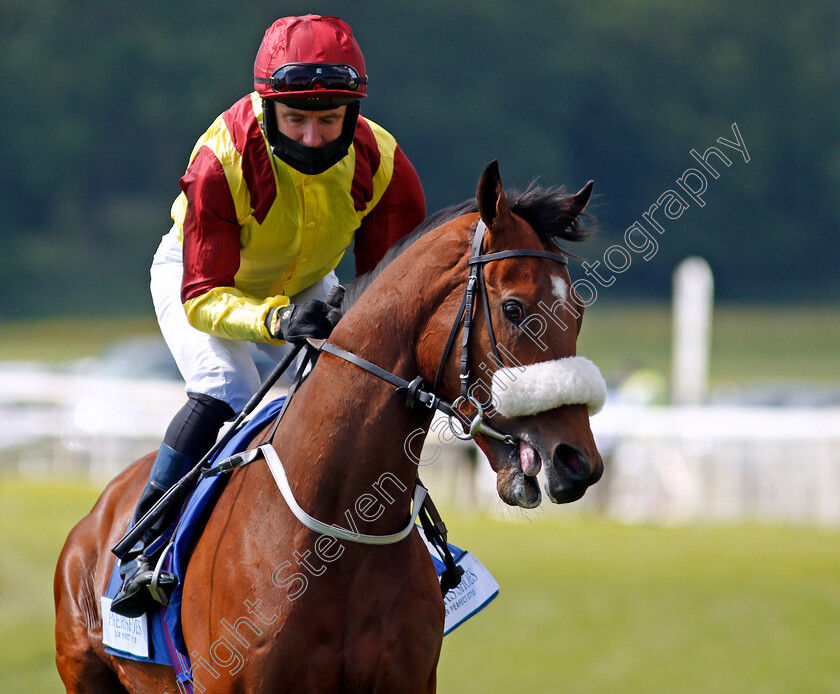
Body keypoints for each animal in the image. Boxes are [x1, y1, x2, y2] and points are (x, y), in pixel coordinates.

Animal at [54, 160, 604, 692]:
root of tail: (99, 514)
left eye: (579, 311)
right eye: (514, 308)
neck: (339, 531)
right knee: (213, 393)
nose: (578, 463)